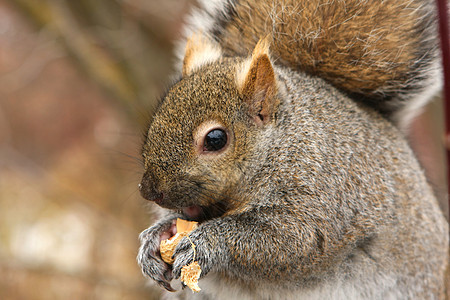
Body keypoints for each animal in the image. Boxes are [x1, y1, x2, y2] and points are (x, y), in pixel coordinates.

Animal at [137, 1, 450, 298]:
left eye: (215, 139)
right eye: (158, 118)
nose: (148, 191)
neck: (279, 146)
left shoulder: (320, 196)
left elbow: (290, 240)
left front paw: (203, 243)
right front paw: (156, 238)